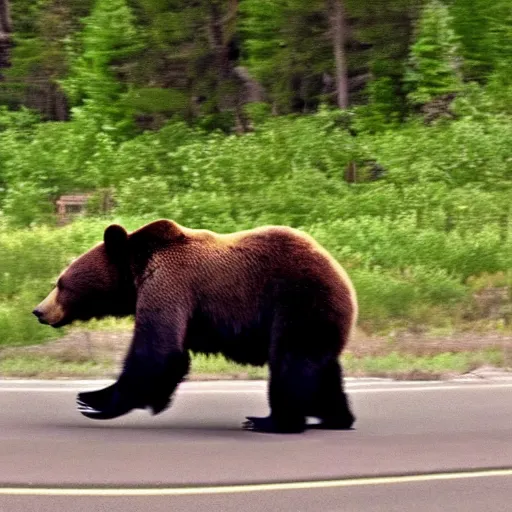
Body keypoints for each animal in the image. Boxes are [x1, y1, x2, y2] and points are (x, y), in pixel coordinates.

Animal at [34, 218, 358, 434]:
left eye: (61, 283)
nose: (39, 311)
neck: (136, 273)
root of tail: (344, 280)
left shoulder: (170, 282)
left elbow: (158, 352)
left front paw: (93, 400)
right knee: (322, 367)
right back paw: (335, 418)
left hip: (298, 301)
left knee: (291, 363)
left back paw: (270, 421)